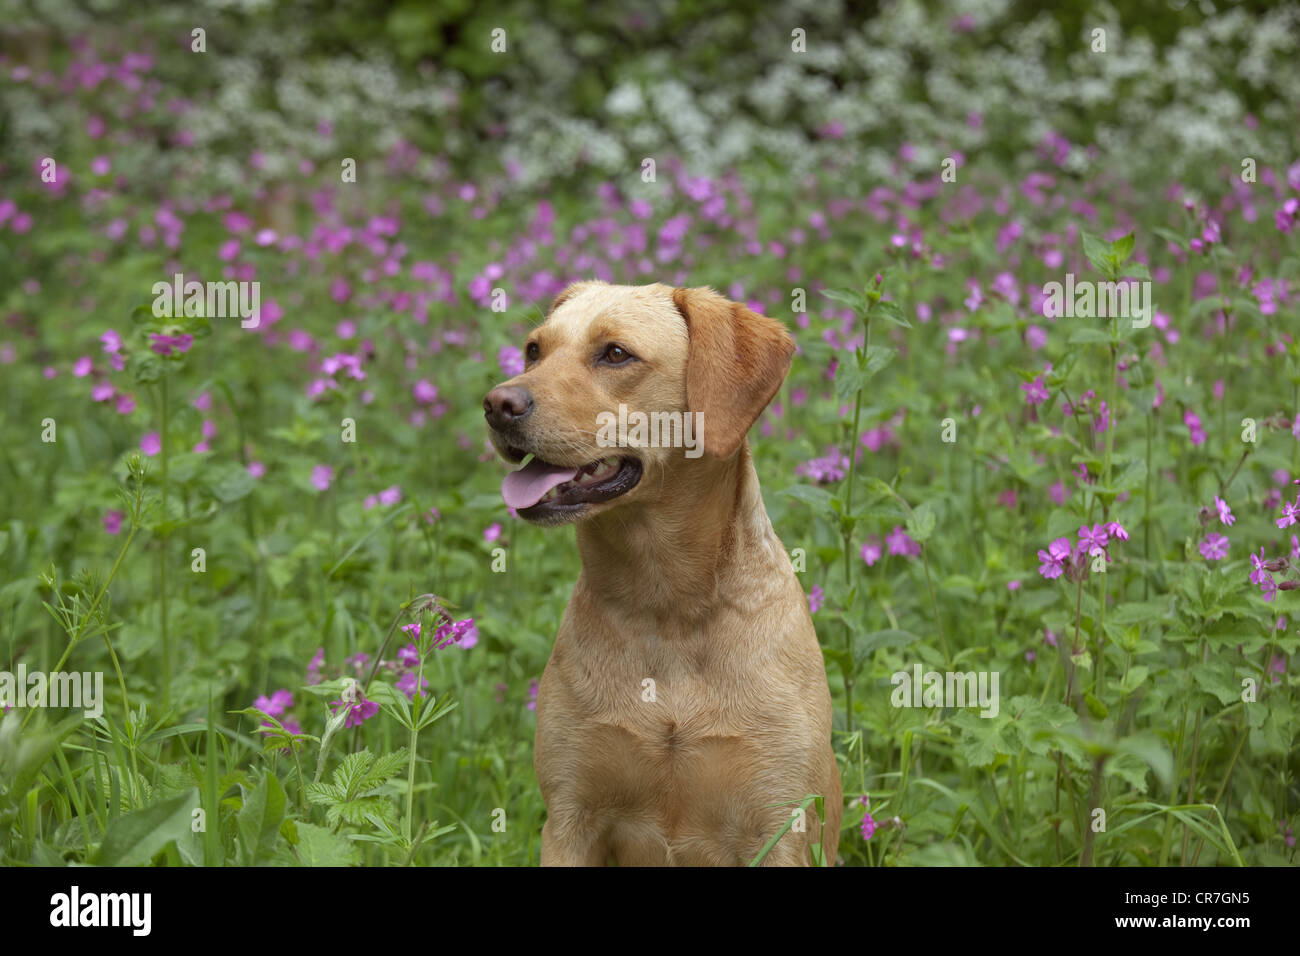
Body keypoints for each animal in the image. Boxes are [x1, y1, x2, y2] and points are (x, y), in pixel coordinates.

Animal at [483, 278, 837, 868]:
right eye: (534, 350)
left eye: (615, 354)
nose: (496, 404)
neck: (667, 606)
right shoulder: (570, 820)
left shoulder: (780, 828)